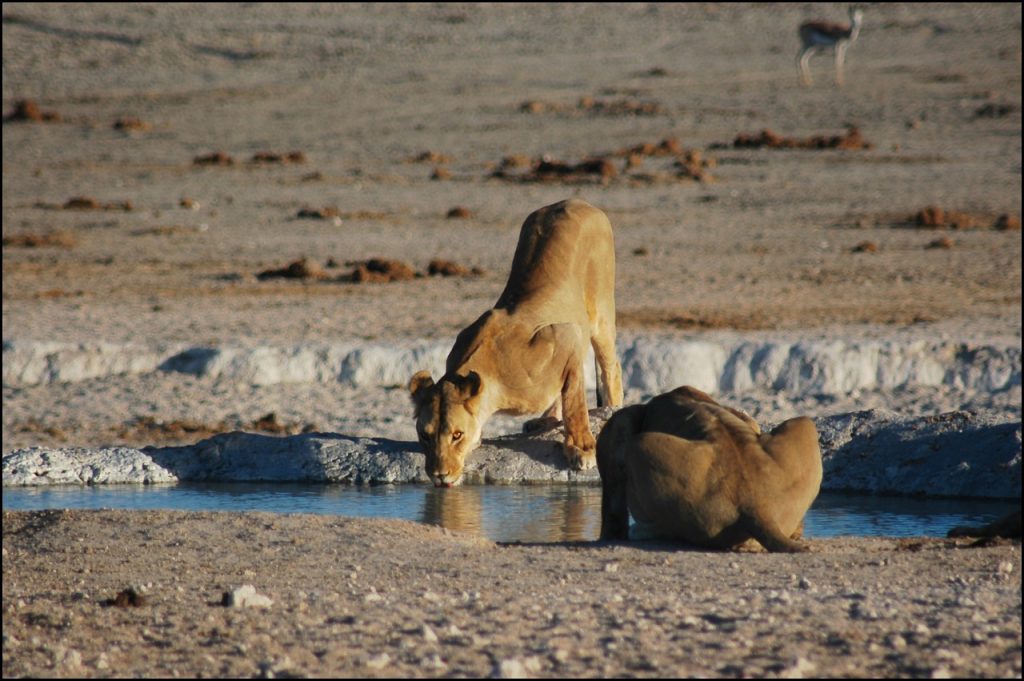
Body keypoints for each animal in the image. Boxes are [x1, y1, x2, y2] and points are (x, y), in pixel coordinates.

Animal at [409, 199, 622, 485]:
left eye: (456, 435)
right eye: (425, 435)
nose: (439, 476)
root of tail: (575, 202)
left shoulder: (566, 334)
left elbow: (575, 402)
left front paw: (582, 448)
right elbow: (566, 392)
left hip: (601, 312)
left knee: (611, 366)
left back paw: (612, 407)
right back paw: (542, 421)